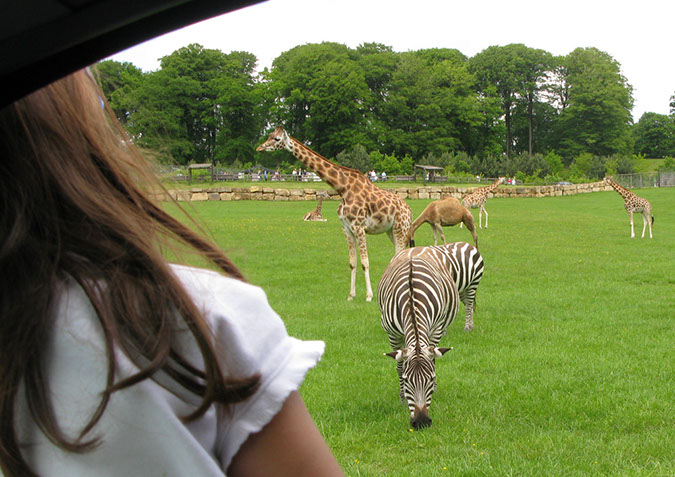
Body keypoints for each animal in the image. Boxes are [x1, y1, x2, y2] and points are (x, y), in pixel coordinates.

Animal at [258, 124, 414, 300]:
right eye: (269, 135)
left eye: (277, 139)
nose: (260, 147)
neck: (342, 188)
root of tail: (409, 210)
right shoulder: (346, 228)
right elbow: (353, 262)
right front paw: (351, 296)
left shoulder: (359, 227)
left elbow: (365, 262)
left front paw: (369, 296)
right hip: (391, 231)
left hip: (400, 228)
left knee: (400, 255)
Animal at [378, 245, 462, 428]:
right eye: (407, 380)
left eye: (430, 379)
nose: (421, 422)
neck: (412, 300)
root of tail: (417, 248)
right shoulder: (393, 335)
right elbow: (399, 366)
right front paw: (402, 397)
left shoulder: (436, 329)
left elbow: (434, 362)